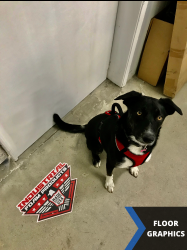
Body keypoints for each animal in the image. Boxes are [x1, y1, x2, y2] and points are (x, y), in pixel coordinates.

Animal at [53, 92, 182, 193]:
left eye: (160, 117)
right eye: (139, 113)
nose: (149, 138)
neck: (134, 143)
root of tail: (87, 124)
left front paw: (134, 168)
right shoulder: (110, 162)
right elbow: (109, 174)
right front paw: (109, 184)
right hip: (97, 145)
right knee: (93, 150)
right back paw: (96, 159)